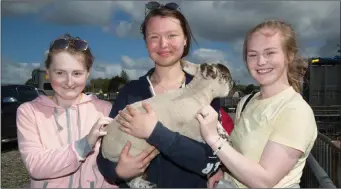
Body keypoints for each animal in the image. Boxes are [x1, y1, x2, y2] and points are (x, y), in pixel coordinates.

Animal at [101, 60, 232, 188]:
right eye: (225, 76)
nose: (232, 84)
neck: (196, 94)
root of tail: (104, 151)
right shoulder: (192, 129)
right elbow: (205, 136)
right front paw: (222, 139)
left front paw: (222, 133)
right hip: (132, 157)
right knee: (131, 180)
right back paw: (146, 185)